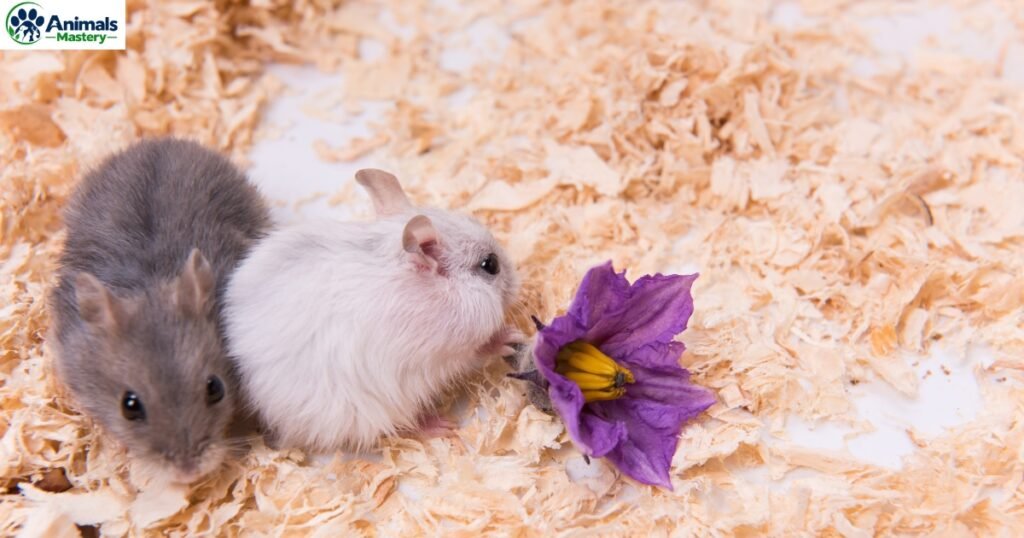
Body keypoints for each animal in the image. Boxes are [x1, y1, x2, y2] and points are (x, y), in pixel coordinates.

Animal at [224, 169, 521, 452]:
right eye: (490, 265)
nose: (518, 283)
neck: (441, 292)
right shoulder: (448, 352)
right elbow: (479, 350)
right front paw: (509, 337)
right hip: (374, 409)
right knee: (400, 425)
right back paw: (441, 426)